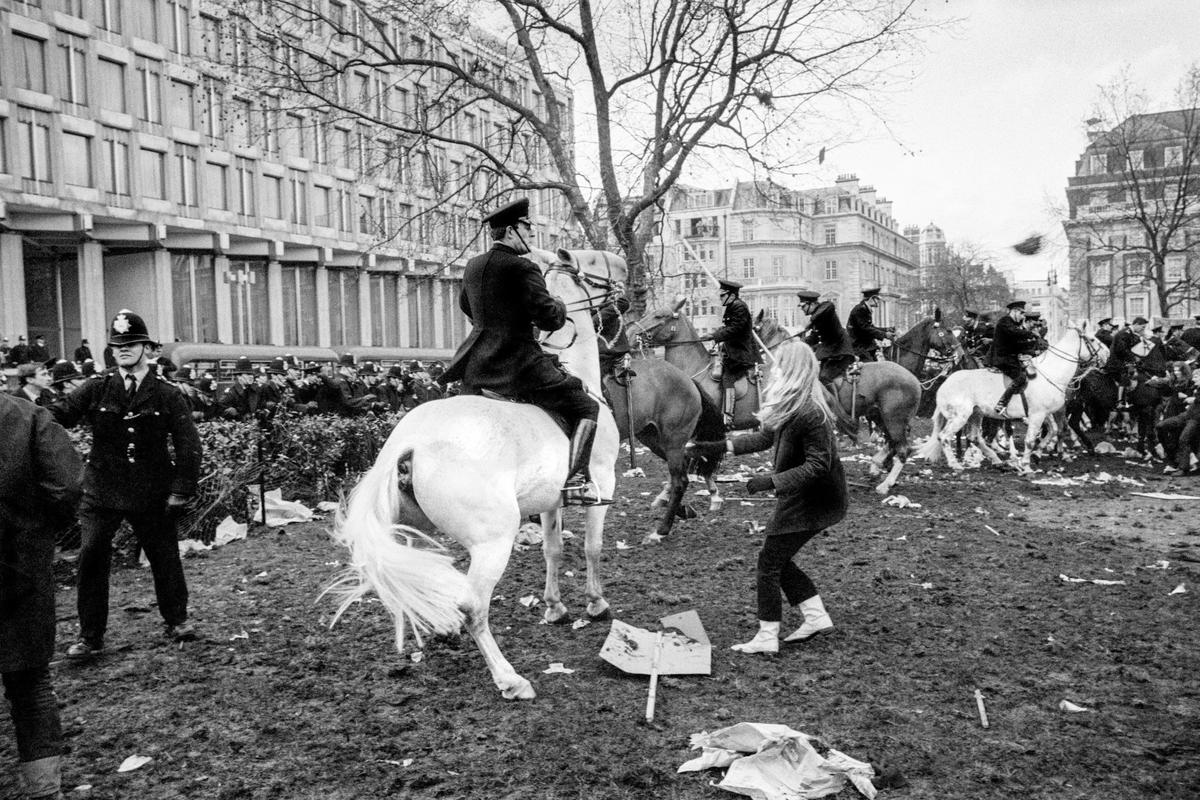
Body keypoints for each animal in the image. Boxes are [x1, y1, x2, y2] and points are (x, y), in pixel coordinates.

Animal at [331, 245, 628, 700]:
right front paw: (596, 604)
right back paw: (510, 679)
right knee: (474, 608)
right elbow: (593, 548)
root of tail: (409, 440)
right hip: (493, 540)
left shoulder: (550, 500)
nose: (626, 278)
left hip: (405, 532)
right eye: (592, 263)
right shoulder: (602, 481)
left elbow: (553, 550)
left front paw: (555, 607)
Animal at [916, 326, 1104, 474]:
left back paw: (996, 460)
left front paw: (1041, 454)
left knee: (974, 437)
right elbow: (1031, 440)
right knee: (945, 436)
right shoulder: (1038, 414)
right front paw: (1026, 464)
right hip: (960, 416)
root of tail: (944, 384)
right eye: (1092, 339)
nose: (1107, 354)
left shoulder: (1052, 412)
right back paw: (956, 463)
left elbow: (1056, 430)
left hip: (976, 414)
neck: (1051, 373)